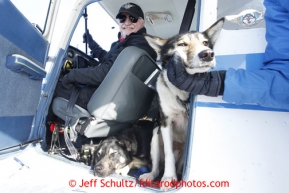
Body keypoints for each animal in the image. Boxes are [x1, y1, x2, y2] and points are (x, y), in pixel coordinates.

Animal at [138, 18, 224, 190]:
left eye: (205, 42)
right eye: (182, 44)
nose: (208, 54)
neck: (183, 93)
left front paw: (173, 177)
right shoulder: (166, 122)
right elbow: (169, 154)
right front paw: (168, 177)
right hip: (156, 135)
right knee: (157, 167)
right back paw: (151, 175)